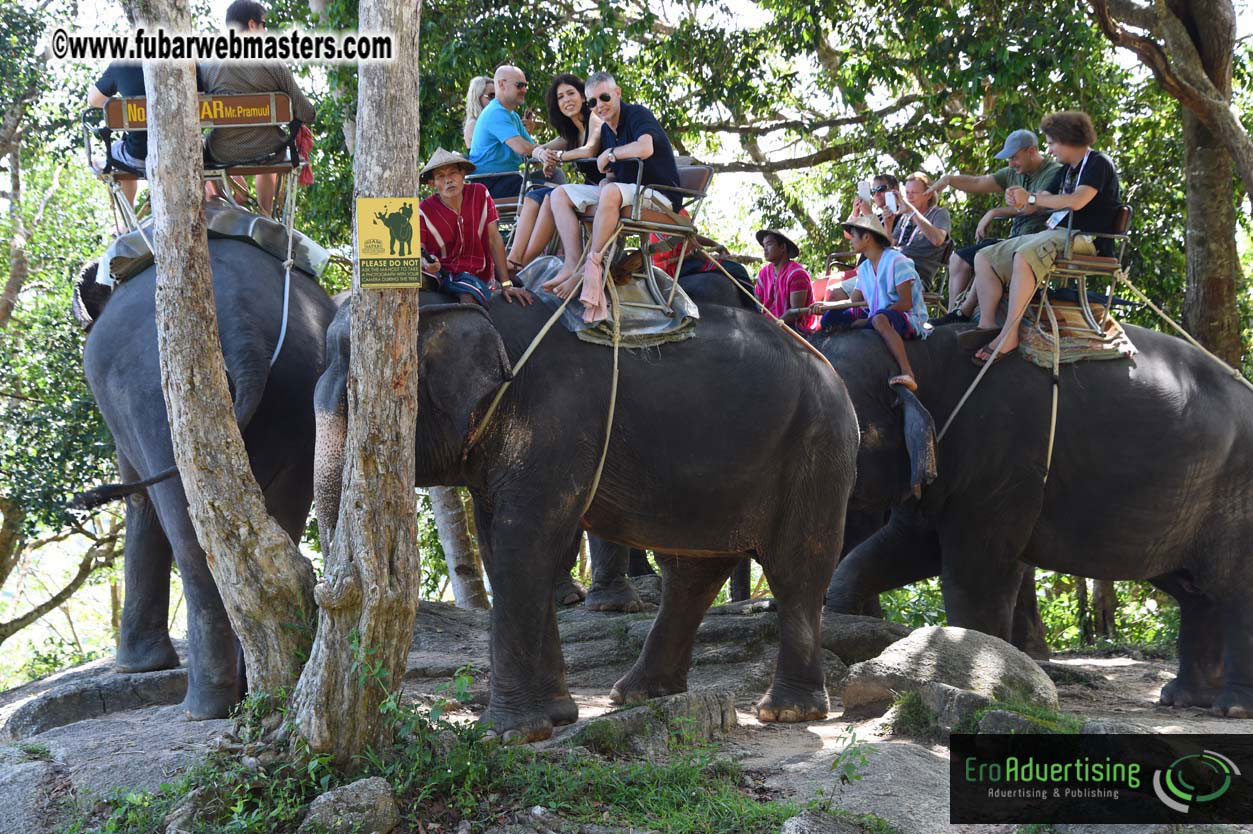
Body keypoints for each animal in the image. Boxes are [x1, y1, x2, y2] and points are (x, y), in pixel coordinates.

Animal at [74, 239, 336, 719]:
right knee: (280, 520)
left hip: (154, 395)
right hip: (302, 390)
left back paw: (204, 707)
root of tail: (243, 330)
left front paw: (136, 668)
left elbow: (140, 504)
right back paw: (252, 688)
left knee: (187, 531)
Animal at [314, 290, 861, 741]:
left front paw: (505, 735)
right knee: (693, 571)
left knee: (796, 568)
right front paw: (556, 717)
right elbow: (500, 546)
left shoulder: (554, 423)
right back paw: (637, 693)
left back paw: (786, 712)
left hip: (817, 449)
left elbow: (524, 541)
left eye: (360, 400)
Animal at [815, 323, 1253, 716]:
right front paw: (841, 619)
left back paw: (1230, 708)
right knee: (1192, 589)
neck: (917, 354)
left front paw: (977, 682)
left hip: (1236, 494)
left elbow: (977, 572)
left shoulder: (1004, 460)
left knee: (1231, 587)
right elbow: (901, 550)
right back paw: (1183, 700)